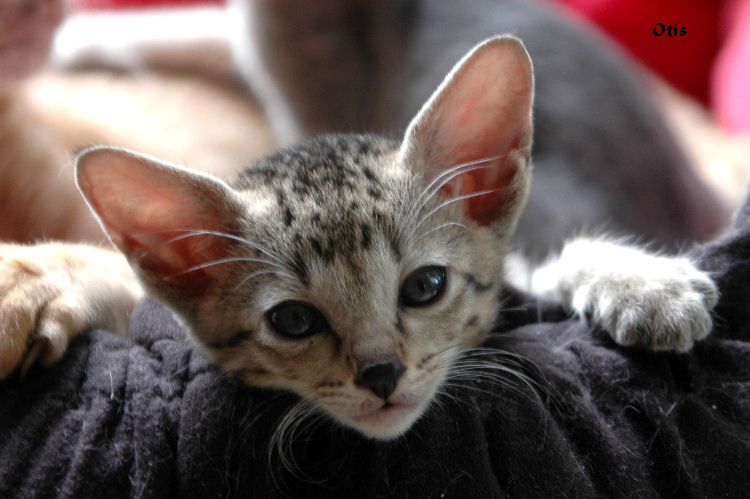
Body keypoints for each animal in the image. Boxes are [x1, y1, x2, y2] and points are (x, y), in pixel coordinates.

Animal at [0, 37, 717, 440]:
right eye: (293, 321)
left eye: (426, 286)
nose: (381, 374)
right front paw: (35, 281)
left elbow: (547, 263)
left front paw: (641, 284)